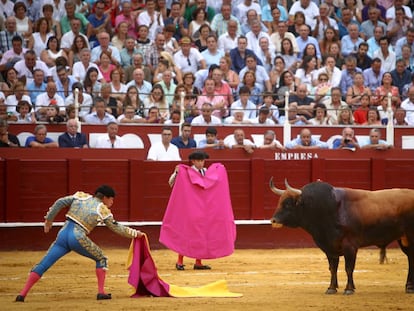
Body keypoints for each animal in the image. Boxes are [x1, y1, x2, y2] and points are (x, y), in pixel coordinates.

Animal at [270, 179, 414, 296]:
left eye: (288, 204)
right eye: (279, 202)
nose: (273, 220)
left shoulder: (350, 246)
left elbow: (348, 268)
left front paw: (349, 289)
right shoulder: (330, 248)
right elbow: (333, 268)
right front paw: (331, 288)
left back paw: (410, 287)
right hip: (403, 239)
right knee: (410, 258)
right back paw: (409, 287)